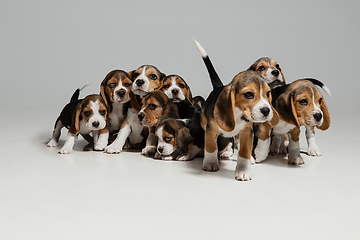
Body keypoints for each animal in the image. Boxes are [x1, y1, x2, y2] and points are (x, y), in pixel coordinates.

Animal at [194, 40, 278, 181]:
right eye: (249, 94)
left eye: (268, 93)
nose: (266, 110)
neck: (238, 113)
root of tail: (219, 87)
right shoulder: (211, 130)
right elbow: (211, 147)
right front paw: (210, 163)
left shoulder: (246, 132)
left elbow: (244, 152)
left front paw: (243, 170)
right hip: (204, 122)